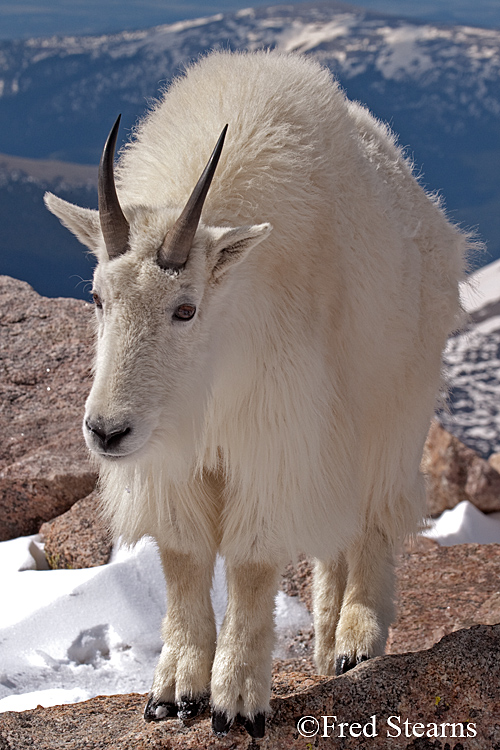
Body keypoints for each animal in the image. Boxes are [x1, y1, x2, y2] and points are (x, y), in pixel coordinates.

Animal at [45, 50, 466, 738]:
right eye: (98, 297)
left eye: (185, 309)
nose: (106, 431)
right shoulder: (172, 455)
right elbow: (184, 559)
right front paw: (173, 694)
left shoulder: (273, 440)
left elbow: (248, 564)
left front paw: (237, 702)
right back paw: (323, 644)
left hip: (394, 407)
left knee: (373, 518)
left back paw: (355, 643)